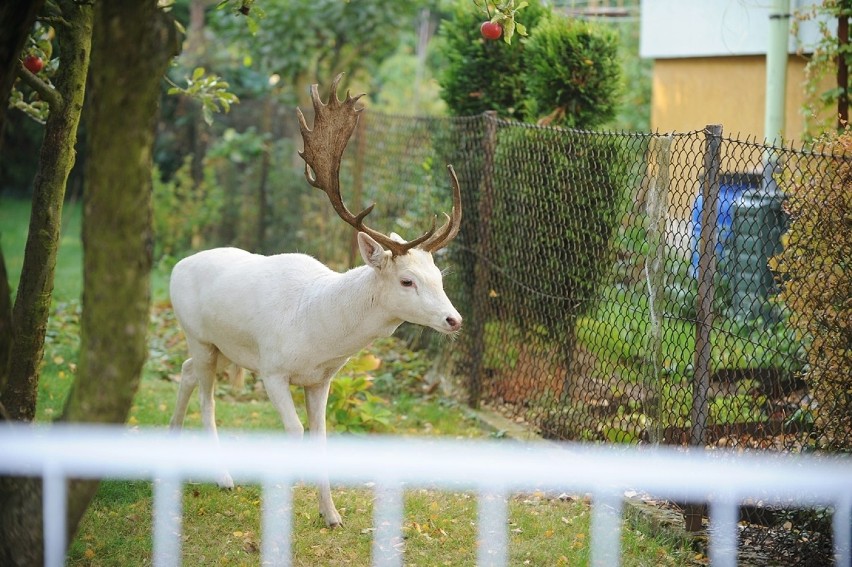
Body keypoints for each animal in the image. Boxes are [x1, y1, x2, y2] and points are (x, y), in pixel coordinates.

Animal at [166, 75, 460, 528]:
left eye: (438, 277)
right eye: (407, 281)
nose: (453, 319)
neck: (317, 332)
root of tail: (176, 267)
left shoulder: (322, 380)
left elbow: (321, 437)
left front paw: (332, 515)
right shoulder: (272, 369)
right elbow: (295, 432)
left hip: (217, 345)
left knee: (183, 372)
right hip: (196, 334)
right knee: (206, 396)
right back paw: (222, 475)